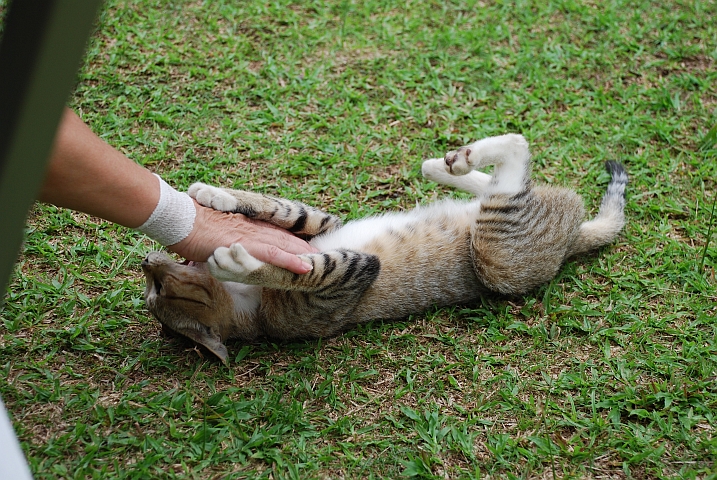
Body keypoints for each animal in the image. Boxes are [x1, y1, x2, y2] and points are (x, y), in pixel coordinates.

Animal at [141, 133, 628, 362]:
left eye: (157, 292)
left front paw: (214, 200)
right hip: (499, 255)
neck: (249, 313)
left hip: (497, 259)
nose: (147, 260)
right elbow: (293, 255)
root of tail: (572, 238)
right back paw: (456, 161)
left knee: (513, 166)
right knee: (514, 171)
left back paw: (454, 161)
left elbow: (282, 214)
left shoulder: (329, 243)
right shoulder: (344, 267)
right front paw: (232, 250)